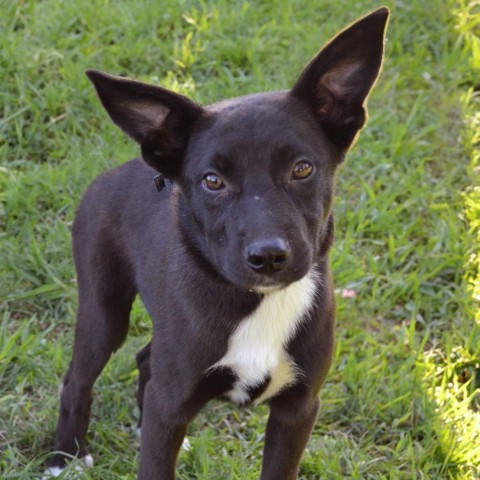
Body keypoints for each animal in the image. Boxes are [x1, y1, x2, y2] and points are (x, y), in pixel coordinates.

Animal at [44, 8, 390, 480]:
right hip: (103, 308)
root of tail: (116, 170)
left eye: (302, 169)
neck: (257, 301)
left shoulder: (298, 409)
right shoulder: (170, 403)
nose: (269, 256)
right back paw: (66, 457)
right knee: (77, 379)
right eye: (213, 181)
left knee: (145, 361)